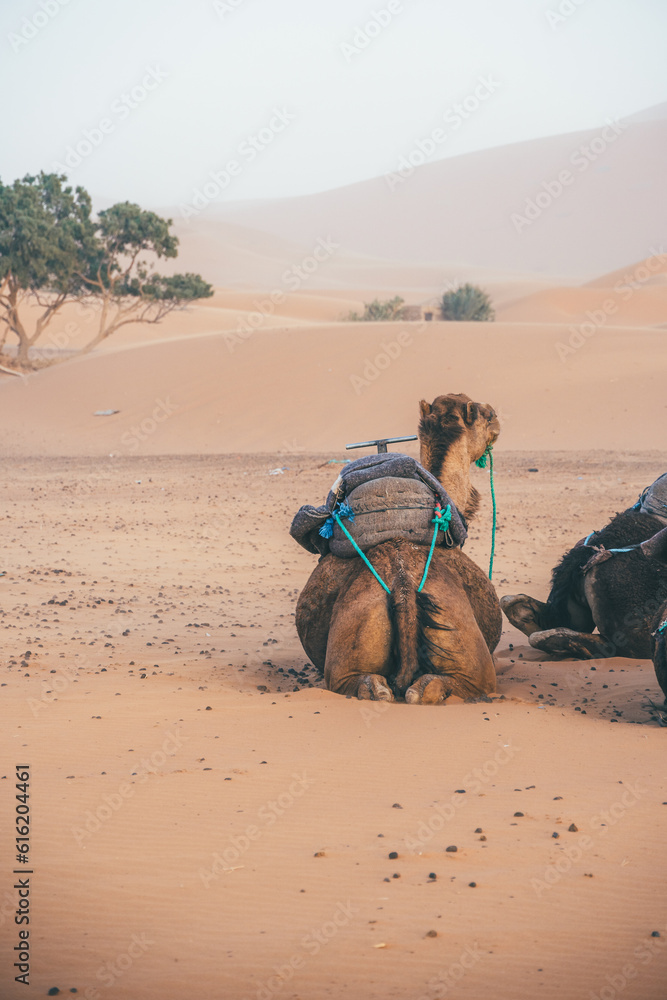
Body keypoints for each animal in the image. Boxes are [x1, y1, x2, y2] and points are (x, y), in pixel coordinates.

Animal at [294, 393, 502, 703]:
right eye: (483, 416)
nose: (496, 416)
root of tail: (402, 583)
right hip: (476, 670)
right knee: (430, 688)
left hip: (350, 659)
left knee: (373, 686)